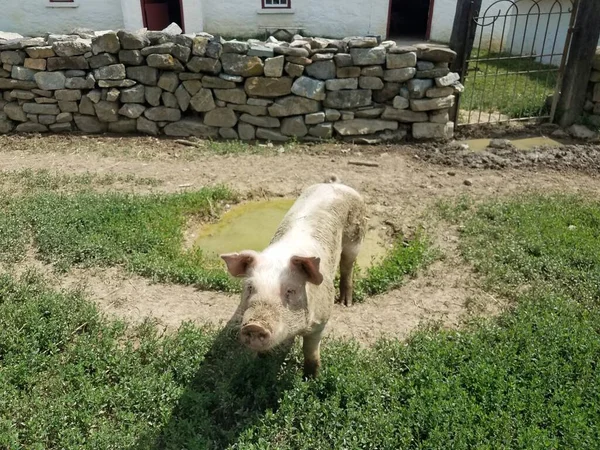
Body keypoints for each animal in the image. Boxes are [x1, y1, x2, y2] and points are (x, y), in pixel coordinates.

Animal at [223, 174, 368, 378]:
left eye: (290, 291)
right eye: (250, 287)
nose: (254, 326)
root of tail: (335, 184)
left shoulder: (321, 321)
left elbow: (310, 351)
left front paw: (311, 378)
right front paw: (261, 365)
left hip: (355, 238)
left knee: (348, 266)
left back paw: (346, 303)